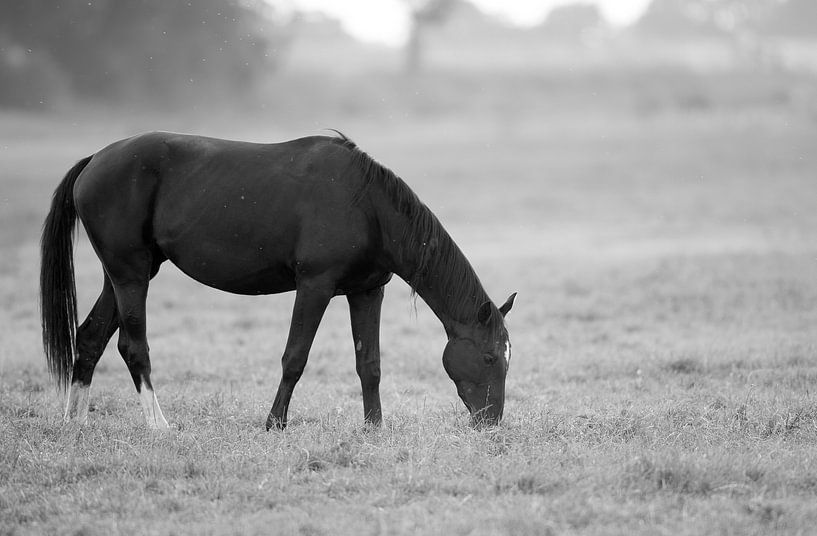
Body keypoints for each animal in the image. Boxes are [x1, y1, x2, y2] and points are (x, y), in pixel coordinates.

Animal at [40, 131, 516, 430]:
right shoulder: (315, 287)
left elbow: (370, 364)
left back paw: (73, 422)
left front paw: (374, 428)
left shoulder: (367, 291)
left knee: (90, 338)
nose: (491, 423)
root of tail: (94, 161)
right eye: (490, 357)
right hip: (132, 275)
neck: (367, 206)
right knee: (132, 347)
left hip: (120, 277)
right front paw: (274, 424)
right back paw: (159, 426)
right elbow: (295, 358)